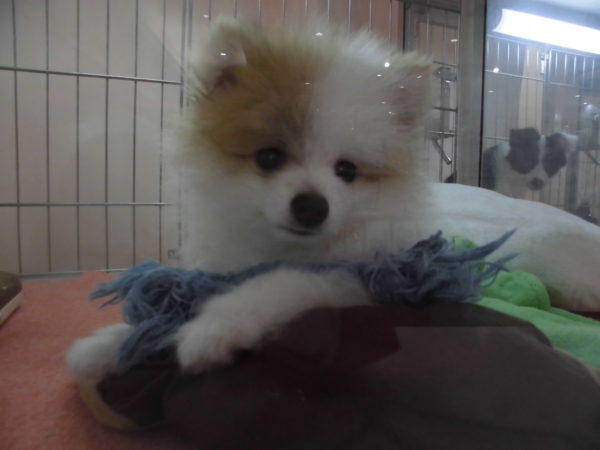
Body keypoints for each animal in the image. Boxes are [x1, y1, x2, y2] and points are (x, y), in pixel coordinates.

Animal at [67, 19, 600, 381]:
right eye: (268, 157)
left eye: (347, 171)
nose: (311, 205)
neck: (284, 247)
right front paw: (105, 345)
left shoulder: (358, 278)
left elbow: (280, 284)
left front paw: (215, 327)